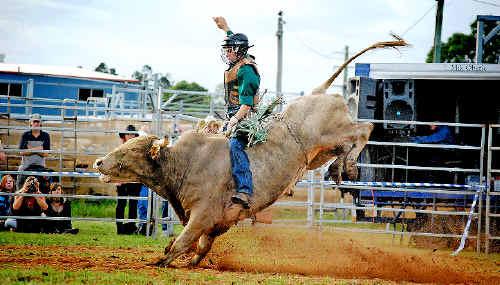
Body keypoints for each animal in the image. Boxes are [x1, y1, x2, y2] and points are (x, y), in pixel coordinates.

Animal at [95, 36, 408, 266]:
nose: (99, 162)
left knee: (364, 129)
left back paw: (351, 166)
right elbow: (200, 245)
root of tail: (318, 92)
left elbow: (182, 242)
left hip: (334, 131)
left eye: (130, 152)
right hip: (320, 151)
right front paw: (194, 261)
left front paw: (162, 260)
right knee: (346, 145)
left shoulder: (203, 214)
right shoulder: (218, 222)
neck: (185, 163)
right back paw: (338, 169)